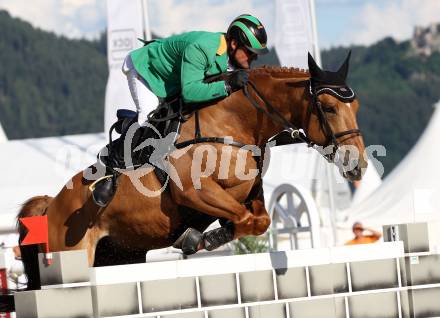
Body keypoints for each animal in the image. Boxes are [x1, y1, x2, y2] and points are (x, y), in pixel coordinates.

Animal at [15, 52, 366, 294]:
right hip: (72, 253)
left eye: (356, 107)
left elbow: (259, 221)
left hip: (119, 255)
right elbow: (243, 219)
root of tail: (50, 205)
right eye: (329, 108)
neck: (232, 124)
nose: (358, 165)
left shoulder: (250, 196)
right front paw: (199, 238)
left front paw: (205, 236)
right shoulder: (194, 192)